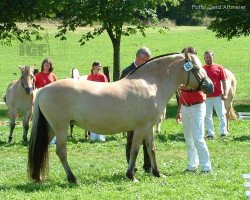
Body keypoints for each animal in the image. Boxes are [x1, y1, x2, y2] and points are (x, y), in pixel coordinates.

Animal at [28, 51, 214, 183]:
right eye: (196, 68)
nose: (210, 86)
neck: (150, 83)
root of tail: (43, 90)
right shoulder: (140, 128)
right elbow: (135, 150)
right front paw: (131, 175)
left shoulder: (149, 127)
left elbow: (151, 149)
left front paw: (157, 173)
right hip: (60, 127)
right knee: (61, 151)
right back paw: (73, 179)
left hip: (51, 128)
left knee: (43, 148)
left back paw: (38, 177)